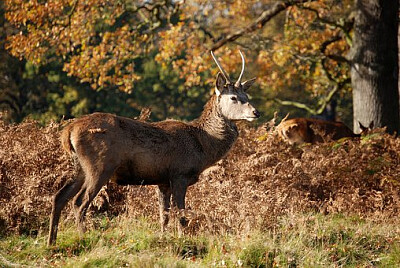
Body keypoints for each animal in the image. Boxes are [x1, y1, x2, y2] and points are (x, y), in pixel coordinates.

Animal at [47, 49, 260, 245]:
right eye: (233, 98)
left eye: (247, 94)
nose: (255, 112)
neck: (202, 146)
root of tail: (68, 132)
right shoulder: (179, 174)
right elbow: (181, 215)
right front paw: (182, 241)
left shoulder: (163, 181)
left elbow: (163, 216)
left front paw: (163, 239)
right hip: (100, 166)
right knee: (79, 202)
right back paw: (83, 238)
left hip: (79, 167)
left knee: (59, 197)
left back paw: (51, 241)